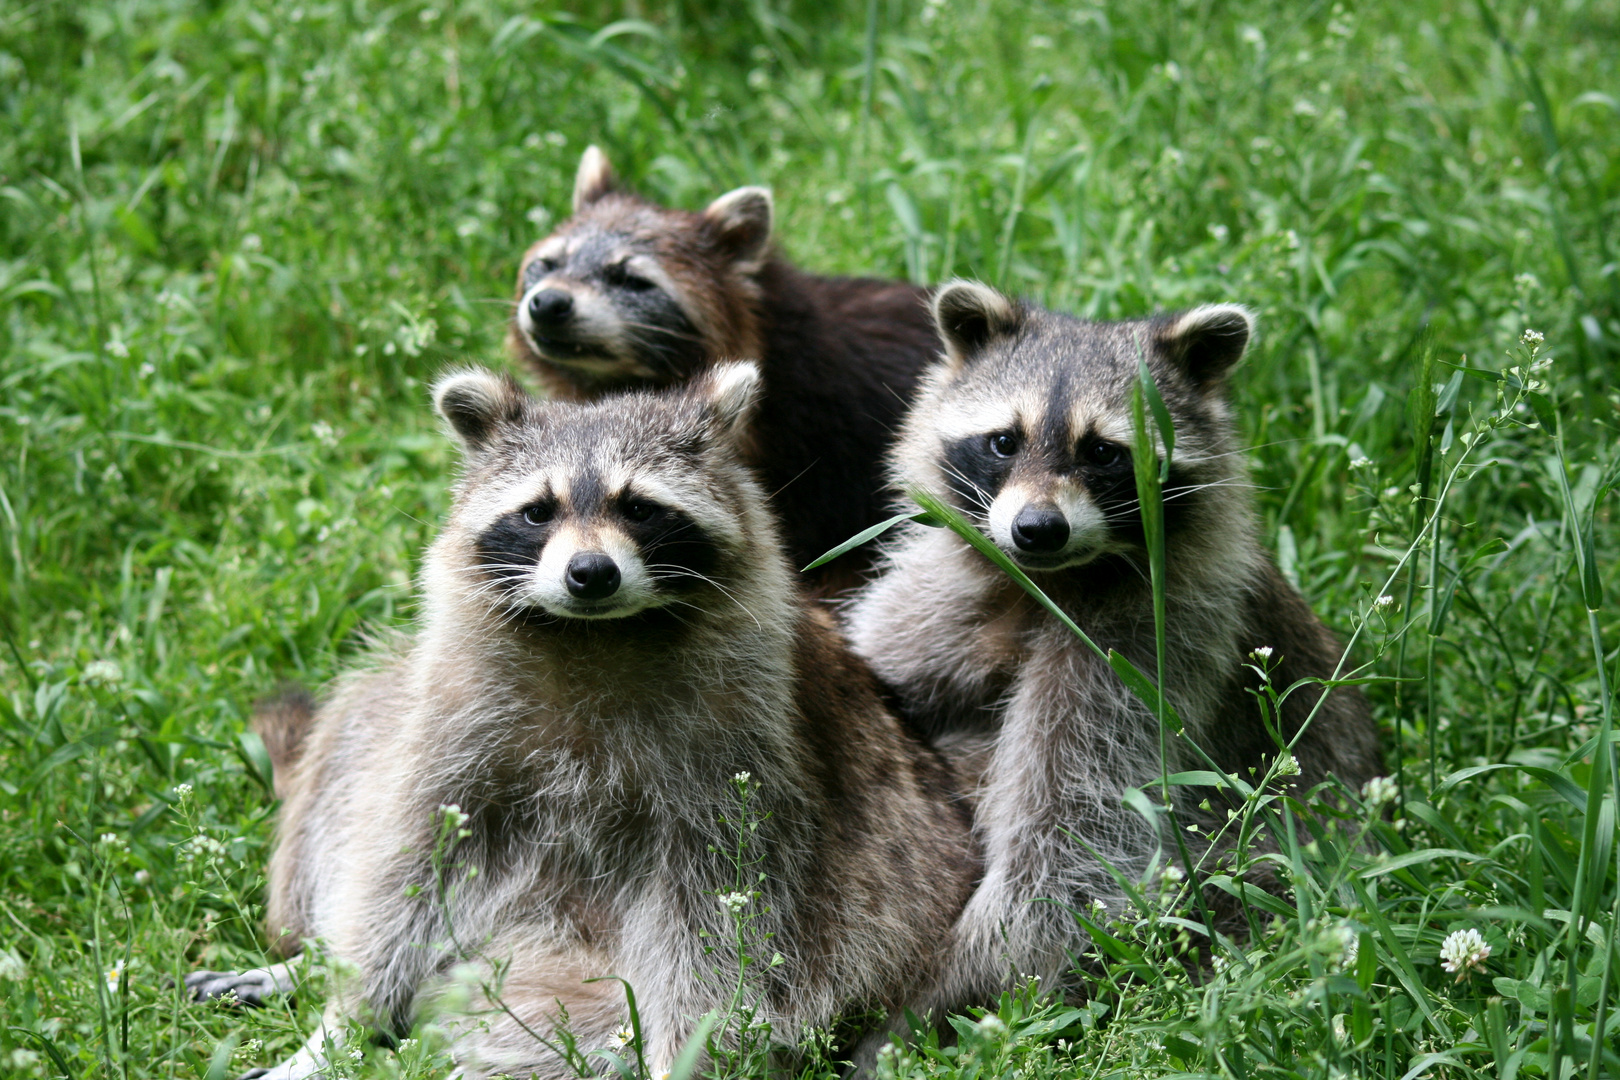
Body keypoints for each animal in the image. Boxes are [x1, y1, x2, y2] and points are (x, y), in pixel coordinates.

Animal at [189, 362, 972, 1080]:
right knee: (352, 739)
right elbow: (407, 867)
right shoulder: (455, 722)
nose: (590, 573)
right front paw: (342, 1023)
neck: (595, 633)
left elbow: (718, 925)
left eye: (641, 508)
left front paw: (684, 1056)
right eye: (539, 510)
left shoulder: (741, 759)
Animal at [842, 283, 1386, 1010]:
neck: (1051, 582)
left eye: (1104, 453)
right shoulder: (946, 598)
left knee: (1239, 885)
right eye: (1004, 441)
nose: (1037, 529)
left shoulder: (1157, 642)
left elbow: (1074, 844)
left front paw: (952, 988)